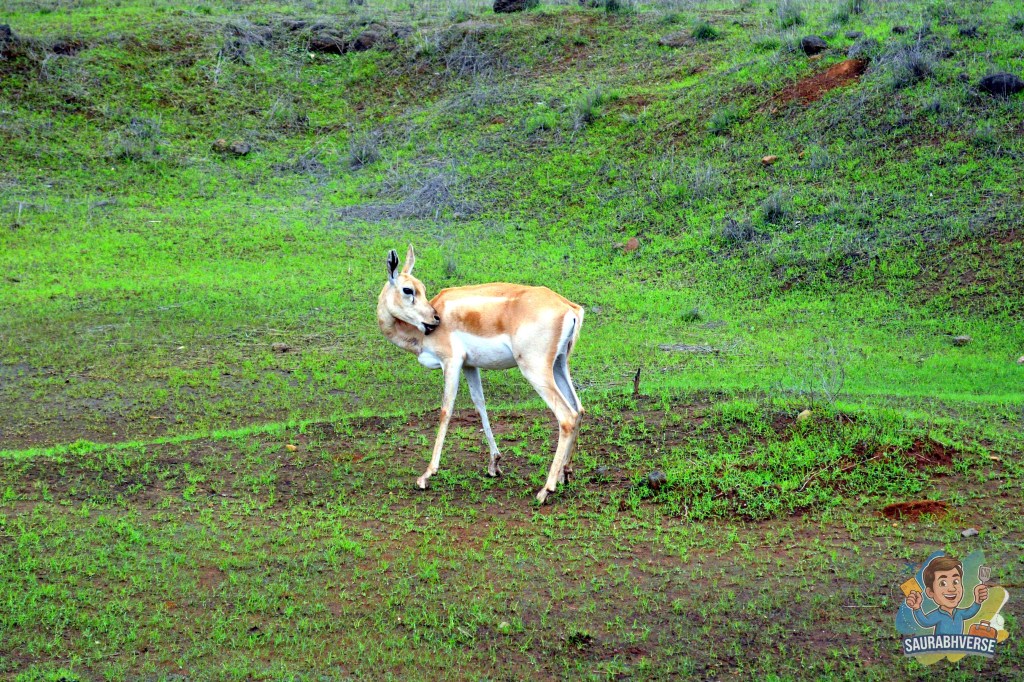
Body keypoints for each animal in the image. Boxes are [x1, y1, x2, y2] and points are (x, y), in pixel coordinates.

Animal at [377, 245, 584, 503]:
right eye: (409, 289)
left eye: (419, 289)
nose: (434, 319)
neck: (419, 334)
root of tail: (570, 308)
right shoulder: (470, 366)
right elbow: (480, 405)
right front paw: (494, 464)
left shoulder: (451, 363)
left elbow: (446, 410)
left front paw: (426, 475)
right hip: (559, 365)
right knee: (579, 409)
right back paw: (565, 474)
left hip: (535, 370)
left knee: (566, 416)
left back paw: (546, 489)